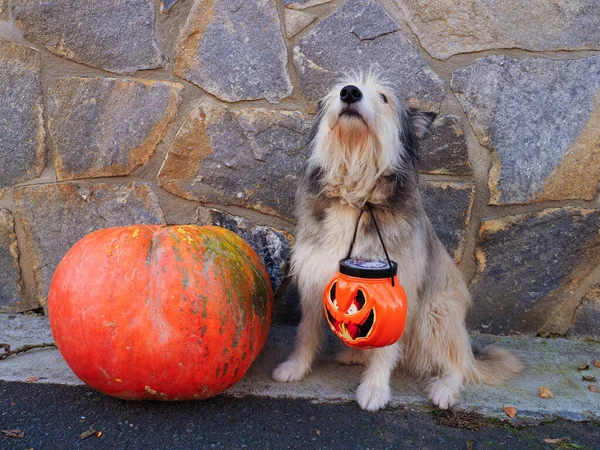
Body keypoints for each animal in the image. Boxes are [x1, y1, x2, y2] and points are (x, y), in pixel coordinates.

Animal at [270, 71, 524, 412]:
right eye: (339, 90)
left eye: (384, 98)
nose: (350, 93)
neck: (355, 195)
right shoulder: (315, 275)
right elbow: (306, 330)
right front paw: (296, 367)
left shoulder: (396, 290)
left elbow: (386, 348)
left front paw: (375, 389)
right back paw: (353, 354)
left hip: (436, 314)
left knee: (458, 363)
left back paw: (445, 387)